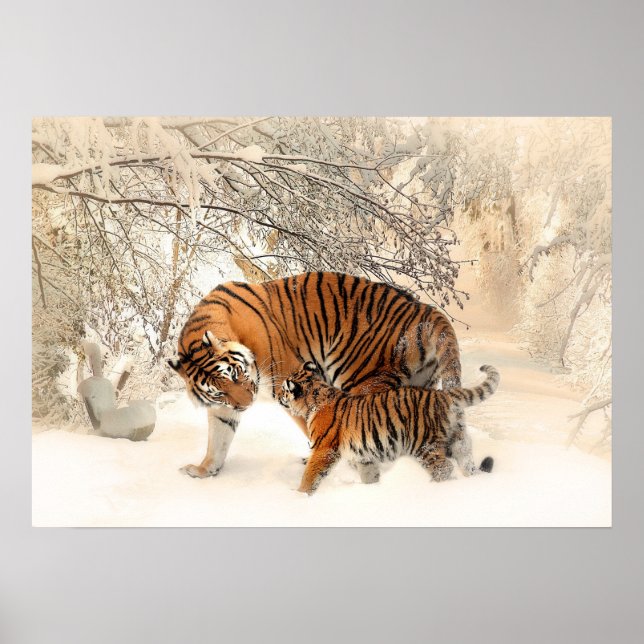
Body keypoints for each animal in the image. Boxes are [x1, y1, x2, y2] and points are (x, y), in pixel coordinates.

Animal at [168, 271, 477, 481]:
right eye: (218, 391)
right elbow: (218, 439)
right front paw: (203, 470)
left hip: (364, 380)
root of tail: (425, 310)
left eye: (234, 374)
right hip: (418, 386)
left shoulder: (288, 380)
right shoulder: (223, 408)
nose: (246, 405)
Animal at [279, 362, 499, 495]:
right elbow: (369, 475)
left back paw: (432, 489)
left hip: (424, 445)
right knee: (466, 461)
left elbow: (310, 474)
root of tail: (443, 395)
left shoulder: (324, 449)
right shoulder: (364, 456)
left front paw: (300, 496)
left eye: (283, 389)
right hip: (458, 439)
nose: (279, 396)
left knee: (444, 469)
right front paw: (373, 490)